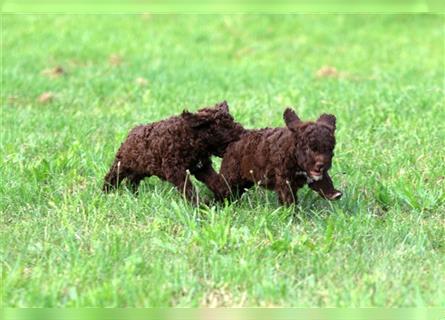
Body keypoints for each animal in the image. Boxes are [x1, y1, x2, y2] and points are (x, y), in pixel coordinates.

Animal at [103, 101, 245, 204]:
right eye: (225, 127)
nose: (243, 133)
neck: (191, 136)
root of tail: (132, 132)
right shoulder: (174, 169)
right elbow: (188, 188)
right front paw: (200, 205)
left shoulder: (201, 167)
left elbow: (214, 179)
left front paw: (225, 194)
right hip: (122, 162)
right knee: (112, 176)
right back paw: (106, 192)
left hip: (141, 168)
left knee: (132, 179)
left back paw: (133, 194)